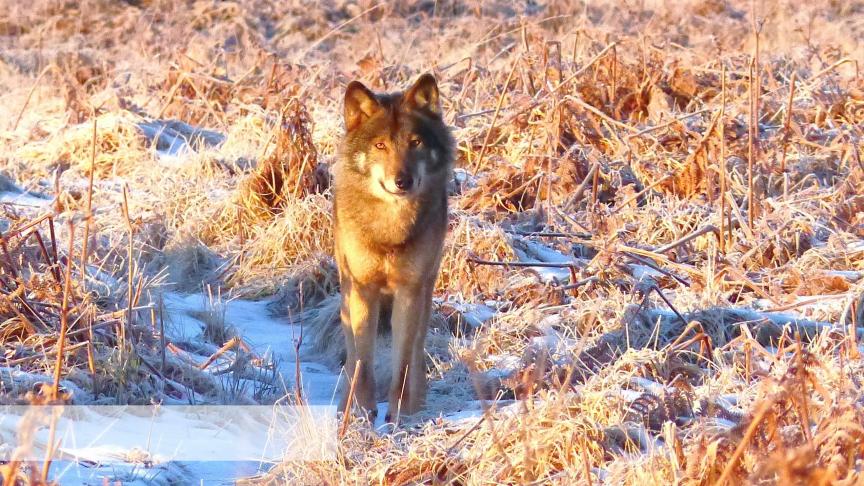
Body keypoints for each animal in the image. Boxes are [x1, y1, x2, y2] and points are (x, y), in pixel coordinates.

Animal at [332, 73, 453, 421]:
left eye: (415, 143)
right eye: (380, 145)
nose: (403, 181)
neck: (390, 230)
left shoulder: (410, 290)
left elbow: (402, 365)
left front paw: (399, 416)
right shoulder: (363, 289)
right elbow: (363, 361)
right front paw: (362, 413)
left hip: (426, 291)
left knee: (416, 351)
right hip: (346, 291)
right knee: (351, 354)